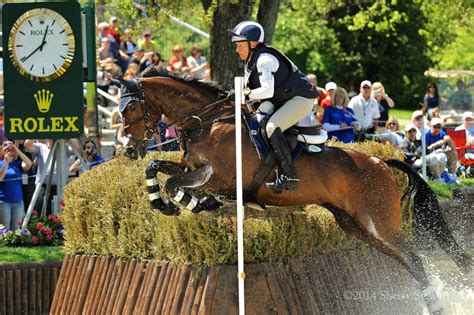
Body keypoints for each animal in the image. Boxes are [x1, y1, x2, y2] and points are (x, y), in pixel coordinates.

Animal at [110, 73, 470, 314]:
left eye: (131, 109)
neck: (208, 121)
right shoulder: (191, 167)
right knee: (406, 260)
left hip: (379, 221)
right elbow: (155, 167)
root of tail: (381, 161)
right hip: (357, 226)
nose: (127, 149)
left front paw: (189, 204)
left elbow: (176, 183)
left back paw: (436, 305)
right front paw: (164, 203)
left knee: (413, 256)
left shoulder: (218, 176)